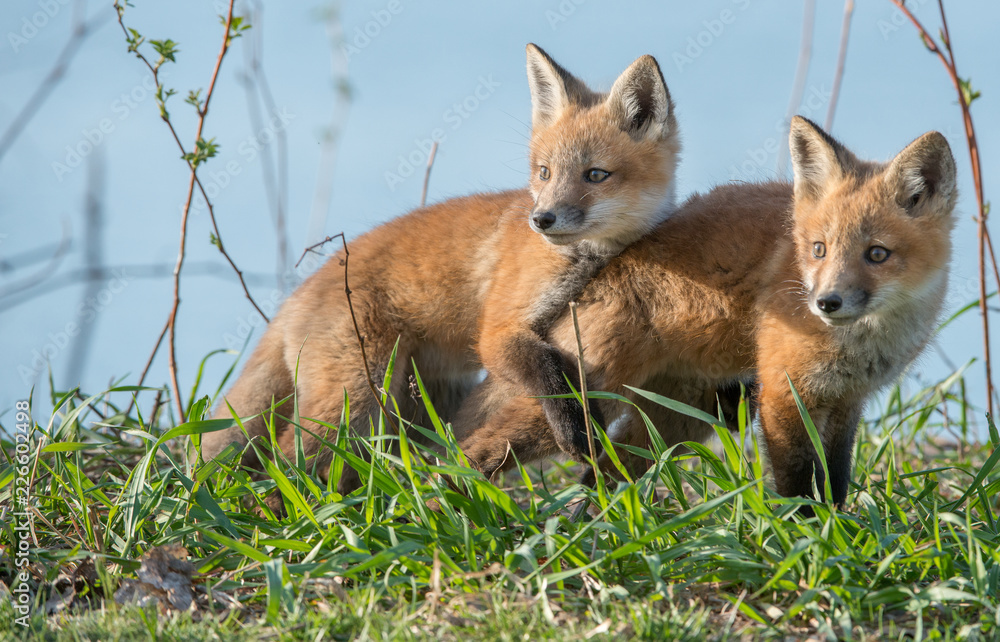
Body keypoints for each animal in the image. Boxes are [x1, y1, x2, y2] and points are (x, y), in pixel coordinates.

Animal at [201, 44, 683, 494]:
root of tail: (298, 294)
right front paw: (574, 429)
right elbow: (549, 372)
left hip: (424, 401)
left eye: (596, 175)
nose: (541, 219)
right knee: (289, 458)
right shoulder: (498, 330)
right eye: (544, 172)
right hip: (356, 399)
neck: (581, 261)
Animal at [453, 115, 956, 508]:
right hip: (586, 400)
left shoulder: (847, 401)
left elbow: (835, 479)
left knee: (602, 476)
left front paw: (837, 526)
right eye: (819, 249)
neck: (861, 345)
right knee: (474, 448)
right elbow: (797, 482)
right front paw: (807, 534)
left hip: (681, 419)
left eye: (877, 254)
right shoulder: (783, 393)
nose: (825, 303)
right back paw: (456, 506)